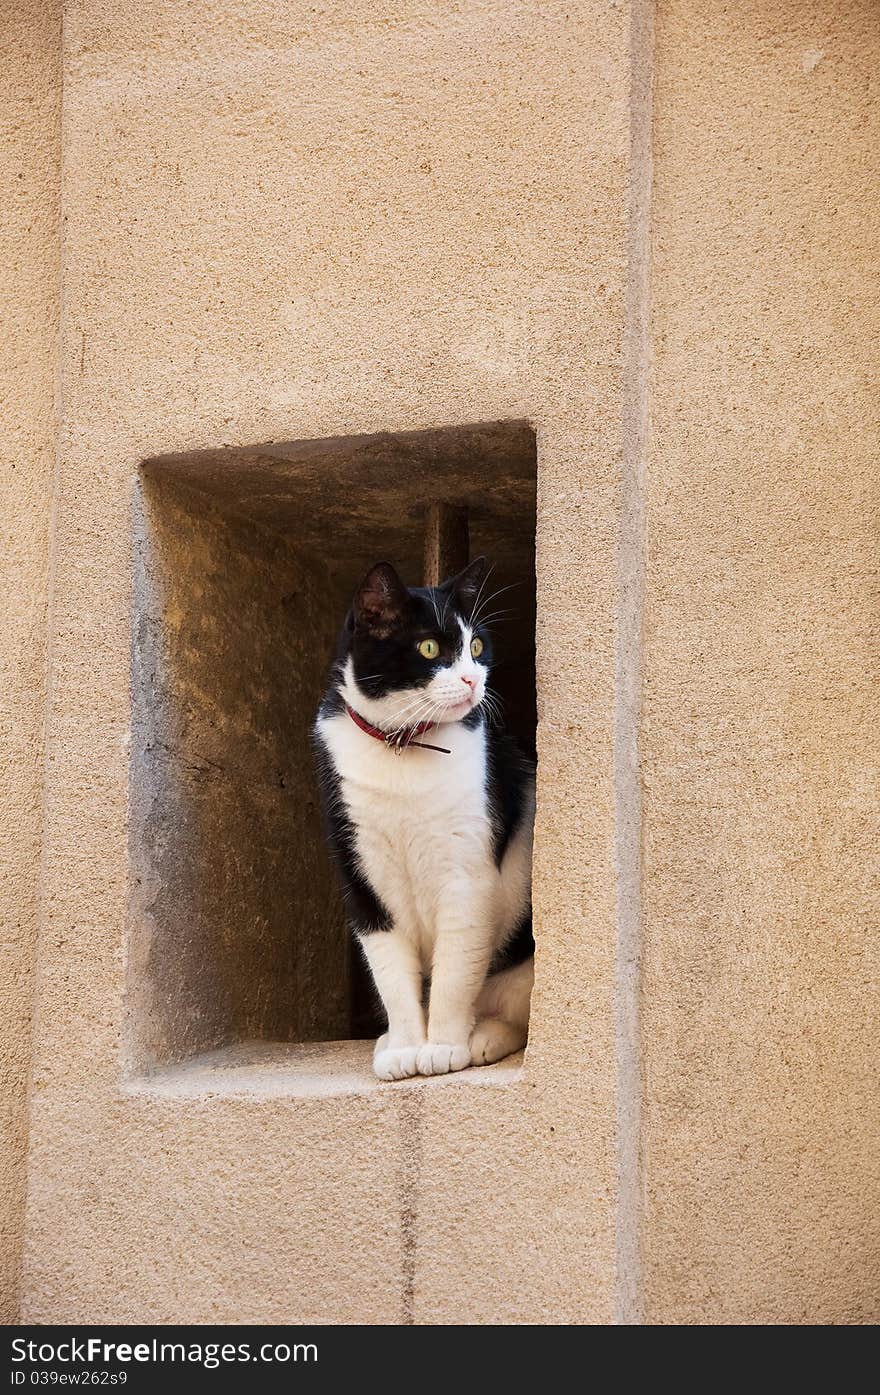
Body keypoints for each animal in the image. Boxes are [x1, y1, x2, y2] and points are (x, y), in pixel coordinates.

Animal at [316, 555, 538, 1076]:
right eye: (430, 647)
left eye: (476, 646)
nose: (473, 680)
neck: (404, 747)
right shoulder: (363, 881)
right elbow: (391, 974)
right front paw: (403, 1049)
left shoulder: (467, 877)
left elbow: (455, 972)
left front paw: (442, 1046)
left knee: (513, 1012)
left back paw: (484, 1038)